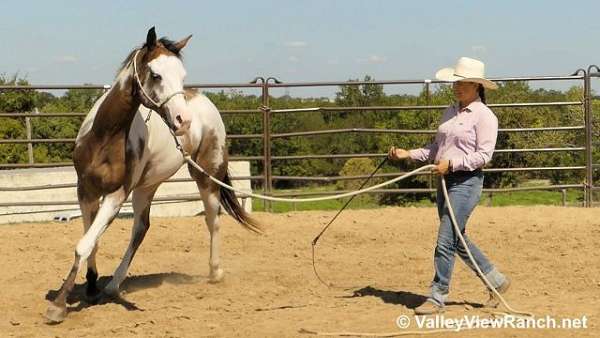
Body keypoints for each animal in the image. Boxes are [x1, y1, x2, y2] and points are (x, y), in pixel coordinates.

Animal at [45, 26, 262, 322]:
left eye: (182, 75)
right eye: (156, 74)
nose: (183, 121)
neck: (104, 136)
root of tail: (204, 102)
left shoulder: (116, 195)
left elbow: (85, 243)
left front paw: (58, 305)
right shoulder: (85, 191)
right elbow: (91, 241)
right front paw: (89, 286)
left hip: (205, 177)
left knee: (212, 219)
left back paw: (215, 272)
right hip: (147, 187)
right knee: (141, 228)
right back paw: (113, 286)